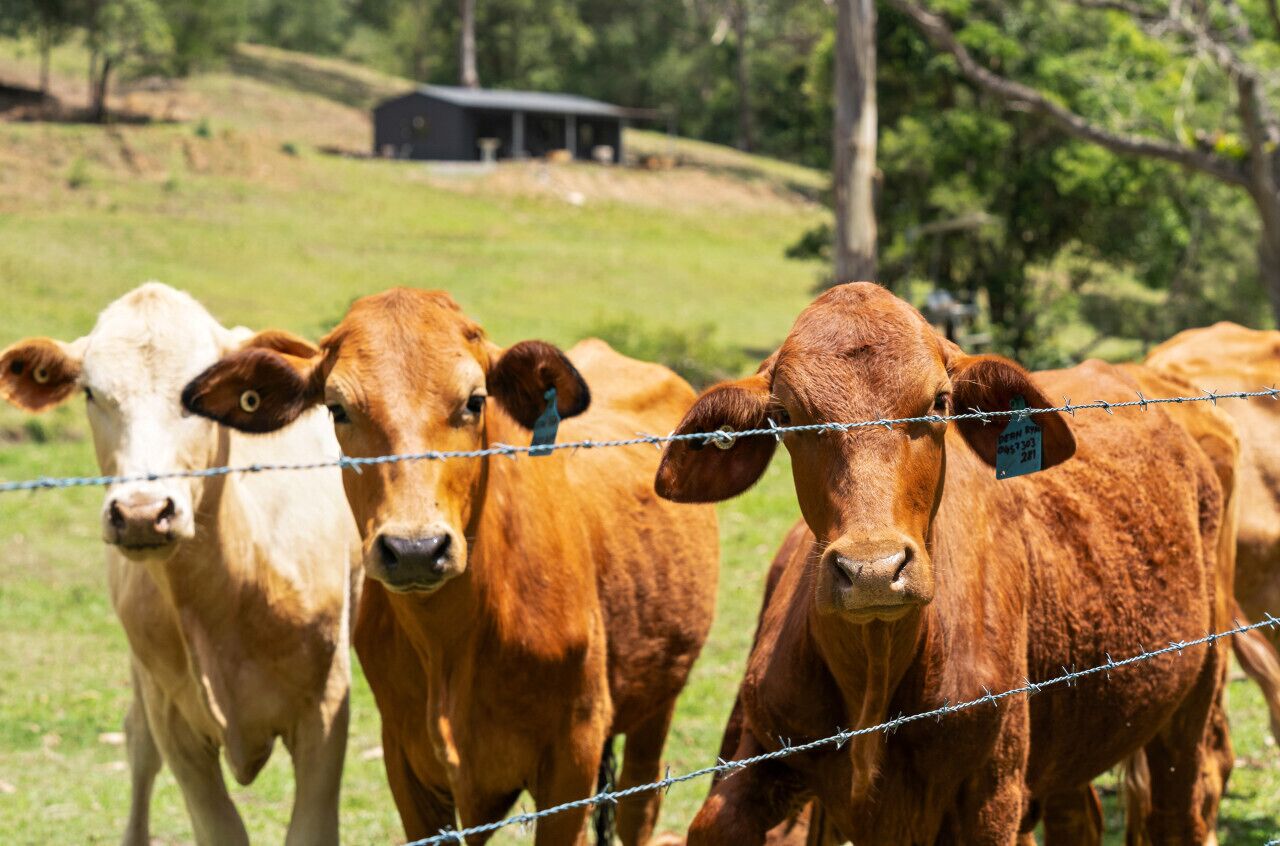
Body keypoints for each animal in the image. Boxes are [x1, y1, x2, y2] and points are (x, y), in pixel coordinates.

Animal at [0, 283, 361, 846]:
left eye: (199, 398)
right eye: (91, 393)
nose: (142, 513)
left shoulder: (325, 712)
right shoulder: (176, 724)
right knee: (138, 744)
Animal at [179, 288, 720, 845]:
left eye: (475, 400)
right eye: (337, 408)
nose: (415, 547)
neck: (452, 643)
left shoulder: (573, 758)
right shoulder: (406, 760)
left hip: (659, 702)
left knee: (640, 804)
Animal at [655, 282, 1233, 844]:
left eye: (938, 402)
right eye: (786, 417)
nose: (872, 570)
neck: (875, 672)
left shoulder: (992, 797)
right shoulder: (759, 752)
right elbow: (715, 822)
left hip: (1194, 697)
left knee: (1183, 807)